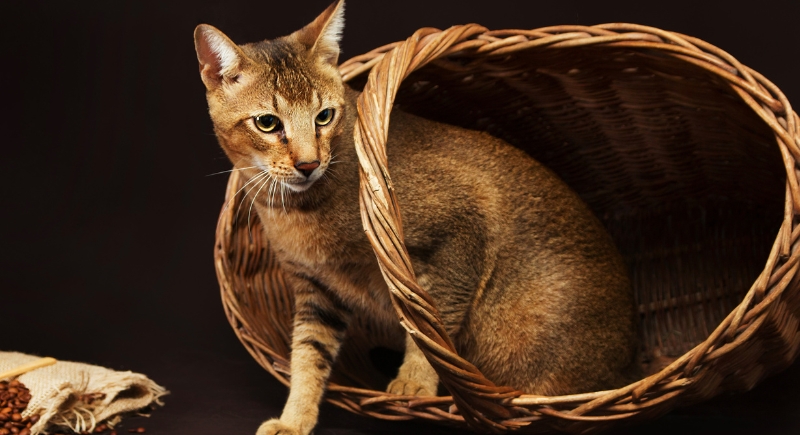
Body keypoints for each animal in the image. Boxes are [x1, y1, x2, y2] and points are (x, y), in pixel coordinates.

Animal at [194, 1, 640, 434]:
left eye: (324, 116)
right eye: (267, 123)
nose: (308, 164)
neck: (298, 212)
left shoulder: (464, 225)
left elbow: (432, 329)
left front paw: (415, 384)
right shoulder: (315, 290)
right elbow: (307, 356)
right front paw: (294, 419)